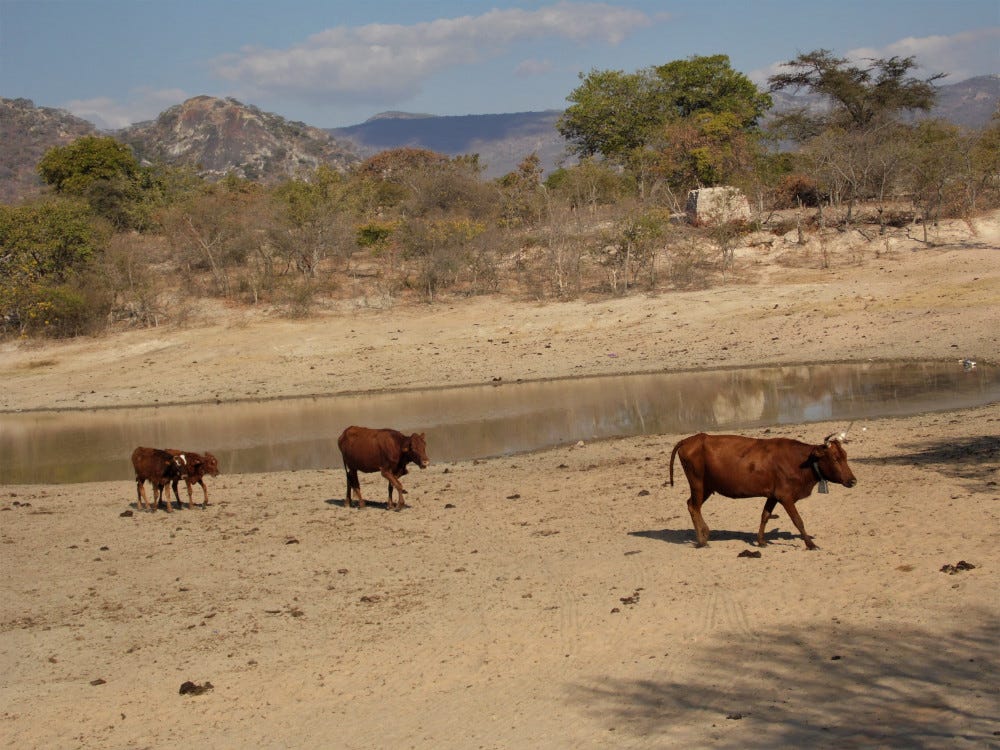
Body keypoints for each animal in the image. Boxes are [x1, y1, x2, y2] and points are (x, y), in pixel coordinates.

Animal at [669, 431, 858, 550]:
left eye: (845, 456)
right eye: (835, 458)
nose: (853, 480)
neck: (798, 461)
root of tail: (692, 439)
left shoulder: (773, 495)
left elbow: (765, 516)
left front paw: (761, 541)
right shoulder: (785, 496)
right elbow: (798, 520)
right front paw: (810, 544)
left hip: (707, 486)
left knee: (692, 505)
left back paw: (705, 534)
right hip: (697, 483)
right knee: (694, 507)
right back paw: (702, 540)